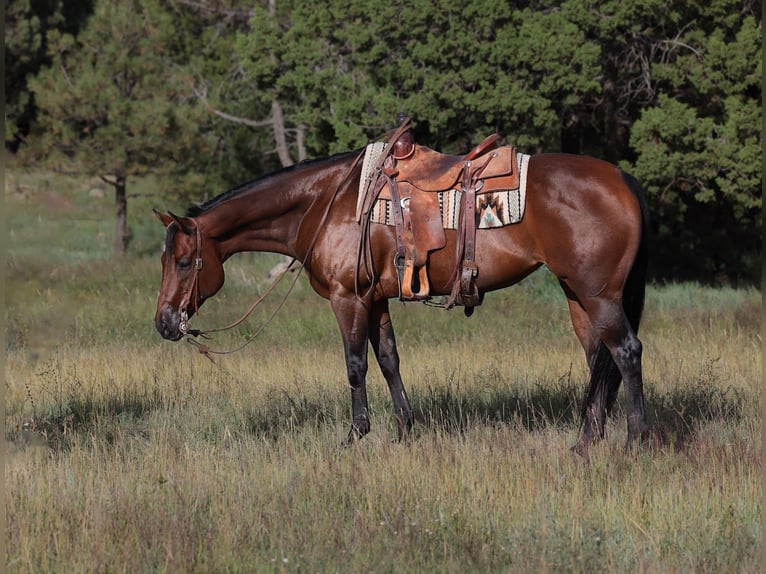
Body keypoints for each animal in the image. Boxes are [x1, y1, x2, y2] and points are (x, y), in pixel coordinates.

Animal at [154, 139, 650, 454]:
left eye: (184, 262)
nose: (164, 322)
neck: (325, 205)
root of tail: (623, 179)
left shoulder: (348, 299)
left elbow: (355, 365)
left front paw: (355, 434)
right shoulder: (375, 301)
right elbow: (389, 359)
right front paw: (404, 429)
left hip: (599, 295)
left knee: (626, 352)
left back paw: (637, 440)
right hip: (578, 296)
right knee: (599, 359)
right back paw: (586, 442)